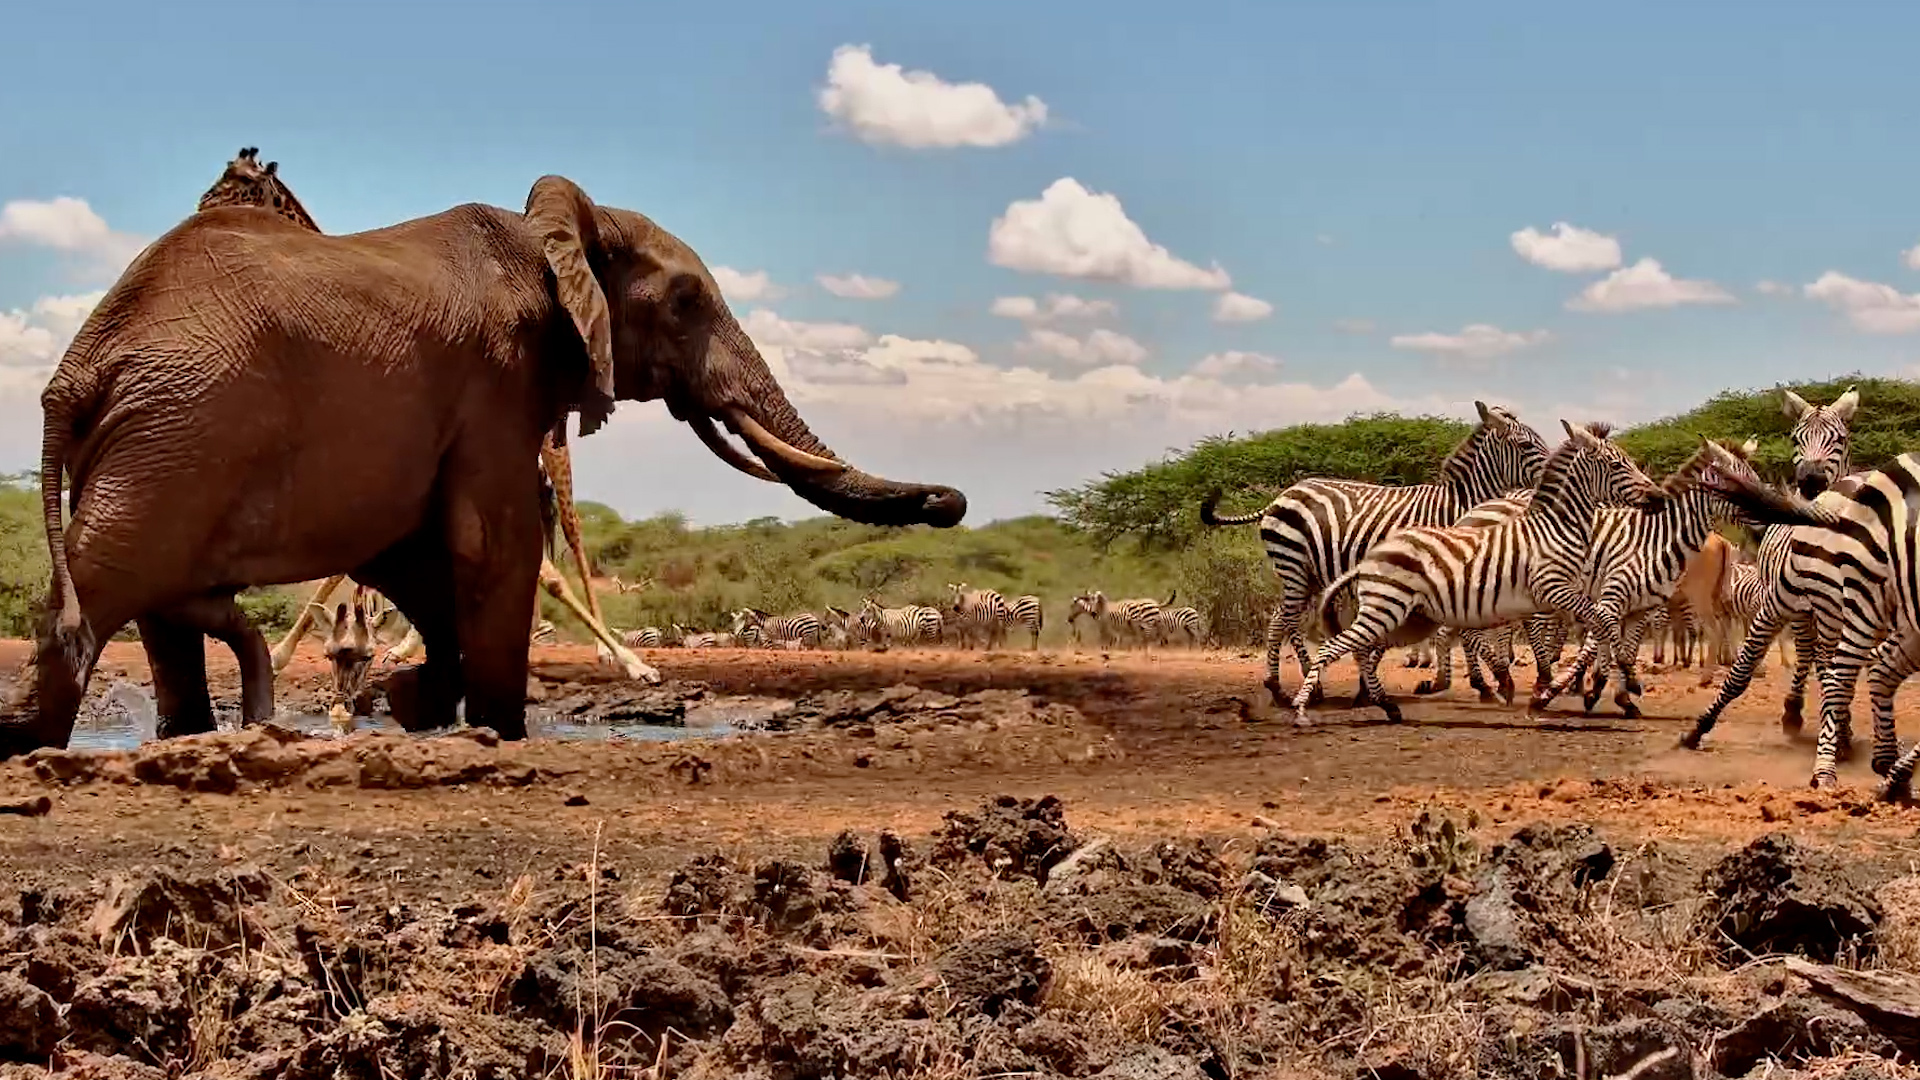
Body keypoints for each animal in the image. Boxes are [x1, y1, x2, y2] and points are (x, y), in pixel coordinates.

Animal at [1, 174, 966, 756]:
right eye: (688, 301)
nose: (953, 503)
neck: (564, 229)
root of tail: (82, 361)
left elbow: (421, 554)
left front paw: (420, 702)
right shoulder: (498, 377)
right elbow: (489, 542)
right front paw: (496, 730)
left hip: (158, 438)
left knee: (158, 611)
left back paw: (188, 737)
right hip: (177, 436)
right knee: (102, 588)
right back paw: (32, 743)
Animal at [1199, 402, 1551, 709]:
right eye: (1525, 444)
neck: (1456, 507)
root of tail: (1281, 496)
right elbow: (1463, 630)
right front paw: (1496, 680)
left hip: (1308, 574)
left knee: (1280, 619)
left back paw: (1294, 686)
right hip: (1294, 566)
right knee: (1285, 621)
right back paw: (1288, 689)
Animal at [1292, 422, 1666, 725]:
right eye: (1617, 465)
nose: (1660, 498)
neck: (1556, 527)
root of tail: (1367, 558)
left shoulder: (1563, 597)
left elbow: (1597, 628)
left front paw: (1607, 681)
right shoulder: (1553, 590)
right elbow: (1602, 624)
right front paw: (1623, 679)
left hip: (1407, 618)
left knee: (1362, 648)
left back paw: (1385, 704)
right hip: (1385, 609)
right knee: (1333, 645)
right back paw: (1302, 709)